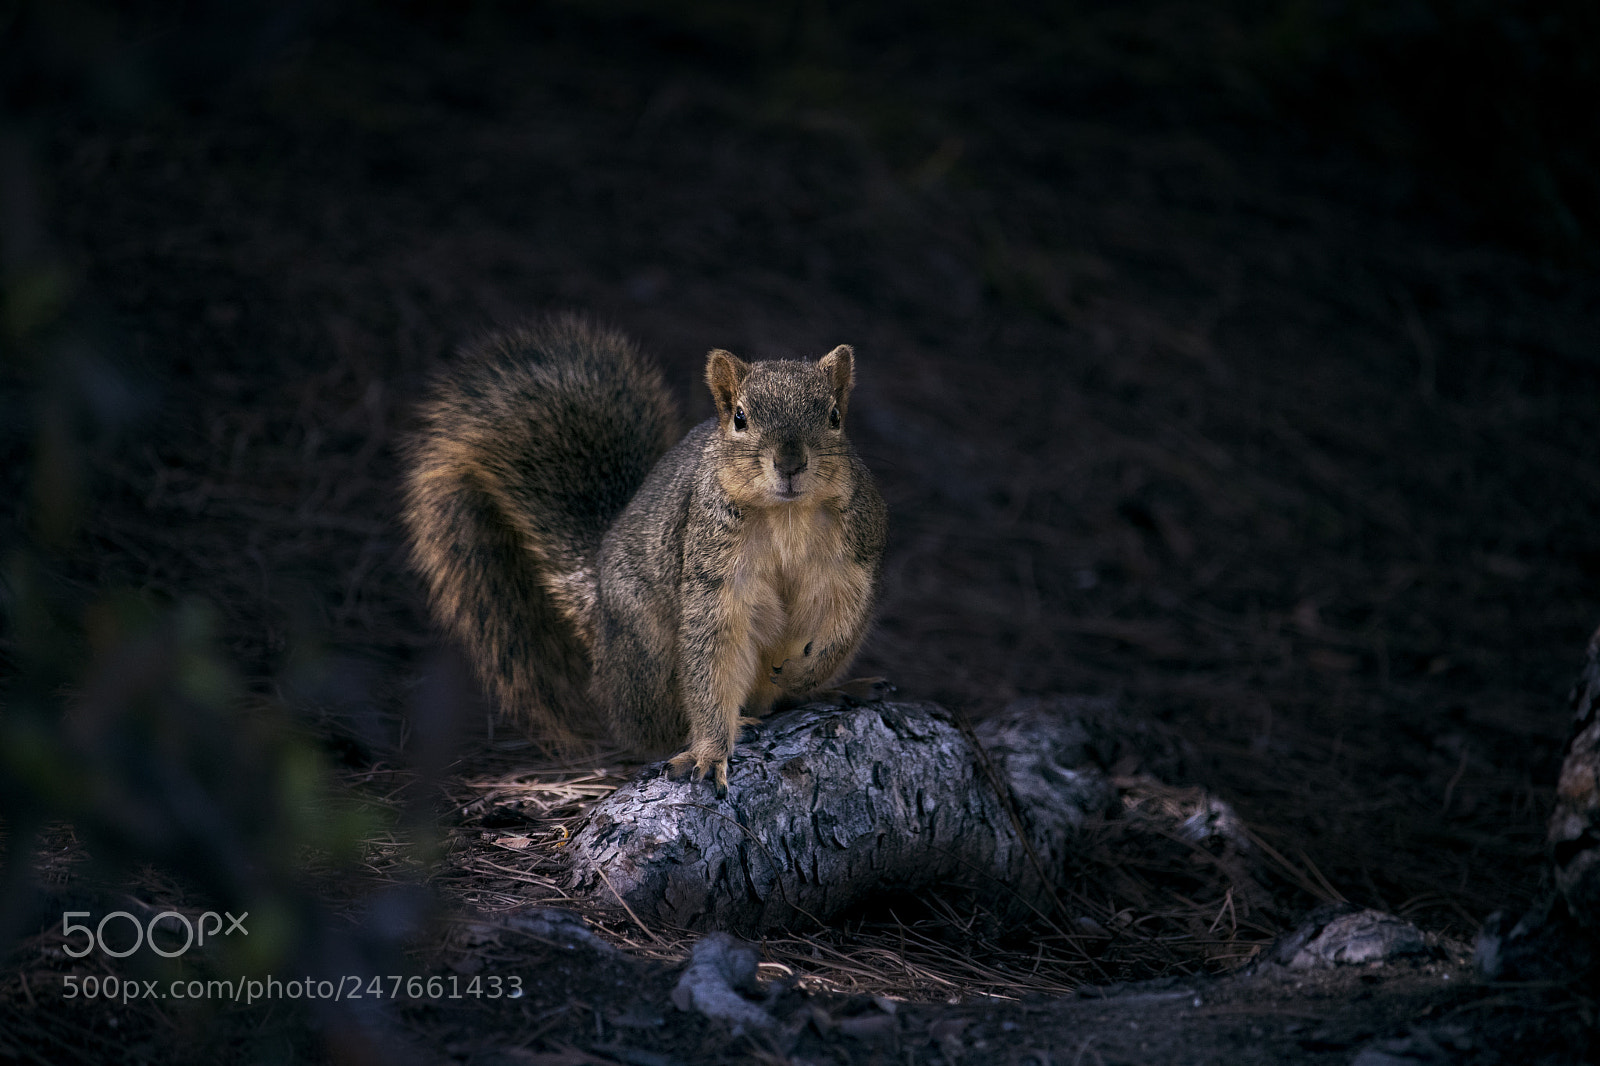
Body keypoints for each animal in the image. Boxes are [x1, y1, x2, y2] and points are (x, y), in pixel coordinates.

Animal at [401, 315, 888, 794]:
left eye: (834, 416)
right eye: (740, 418)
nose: (790, 463)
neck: (787, 514)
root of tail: (599, 615)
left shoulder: (855, 560)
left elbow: (844, 622)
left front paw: (807, 673)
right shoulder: (713, 574)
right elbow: (712, 655)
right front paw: (711, 750)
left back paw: (826, 690)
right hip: (646, 653)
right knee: (652, 728)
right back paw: (730, 724)